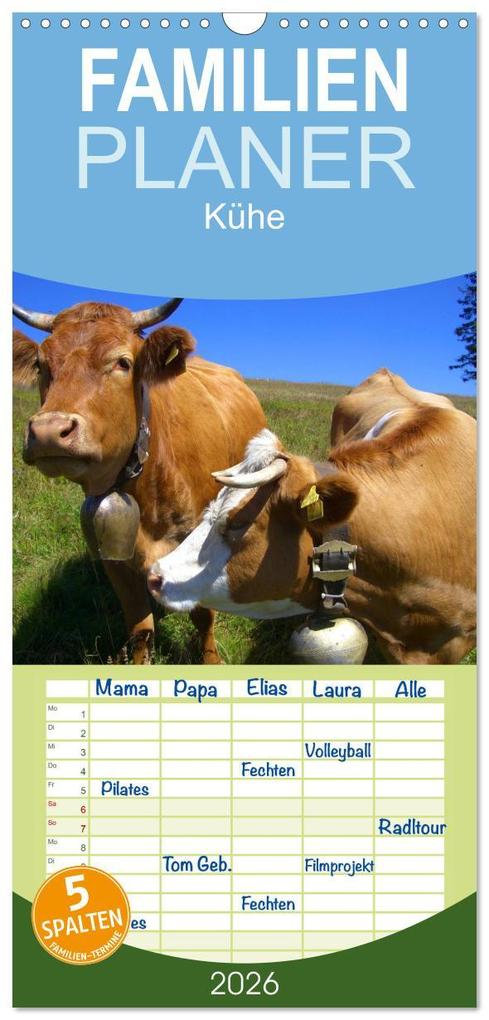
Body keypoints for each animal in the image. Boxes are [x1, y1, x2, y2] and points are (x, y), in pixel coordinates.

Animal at [13, 298, 266, 663]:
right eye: (40, 365)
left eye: (123, 362)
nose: (48, 431)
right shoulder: (114, 557)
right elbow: (140, 627)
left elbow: (203, 616)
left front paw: (211, 660)